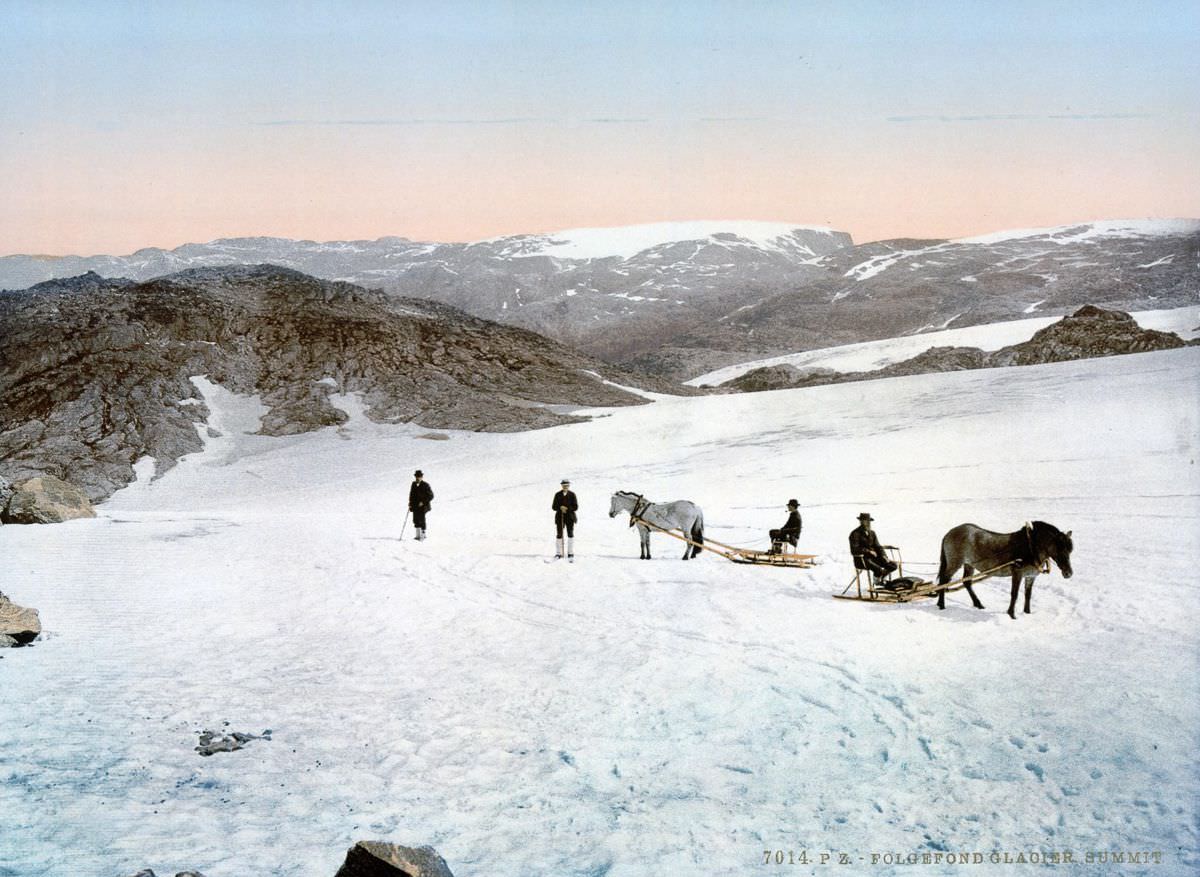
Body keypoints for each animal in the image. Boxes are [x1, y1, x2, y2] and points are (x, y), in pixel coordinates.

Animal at [931, 520, 1075, 619]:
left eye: (1070, 550)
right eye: (1059, 549)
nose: (1068, 573)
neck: (1031, 547)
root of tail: (949, 533)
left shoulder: (1030, 576)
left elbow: (1028, 595)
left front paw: (1027, 613)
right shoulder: (1017, 573)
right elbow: (1014, 594)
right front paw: (1011, 614)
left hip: (969, 564)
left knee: (966, 582)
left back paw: (978, 604)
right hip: (955, 563)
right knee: (944, 581)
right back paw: (942, 605)